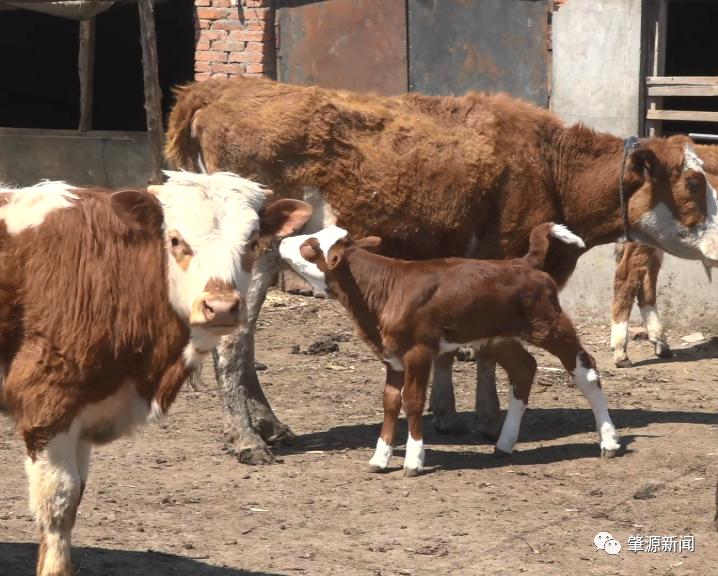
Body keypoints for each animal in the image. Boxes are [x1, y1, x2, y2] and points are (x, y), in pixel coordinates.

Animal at [0, 171, 312, 576]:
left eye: (252, 240)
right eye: (176, 240)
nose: (221, 306)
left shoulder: (85, 410)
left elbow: (76, 497)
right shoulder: (49, 400)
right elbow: (59, 503)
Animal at [278, 223, 620, 474]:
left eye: (310, 246)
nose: (282, 241)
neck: (383, 289)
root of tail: (524, 261)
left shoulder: (418, 351)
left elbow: (413, 401)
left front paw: (414, 459)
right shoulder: (392, 355)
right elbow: (390, 402)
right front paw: (380, 458)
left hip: (549, 324)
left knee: (586, 369)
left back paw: (609, 441)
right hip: (497, 336)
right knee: (524, 369)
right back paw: (504, 444)